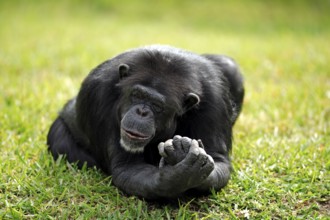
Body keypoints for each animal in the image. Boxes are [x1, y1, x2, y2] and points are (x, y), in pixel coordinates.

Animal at [48, 45, 245, 199]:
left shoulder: (215, 101)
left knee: (229, 66)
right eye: (137, 95)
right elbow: (128, 167)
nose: (142, 112)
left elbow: (218, 160)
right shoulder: (97, 94)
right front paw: (179, 175)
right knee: (61, 143)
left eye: (157, 105)